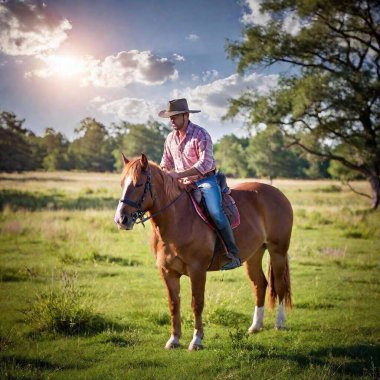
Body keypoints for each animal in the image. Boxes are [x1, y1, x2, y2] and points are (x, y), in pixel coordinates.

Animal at [114, 154, 292, 350]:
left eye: (138, 184)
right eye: (122, 184)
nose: (121, 219)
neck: (176, 221)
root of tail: (278, 193)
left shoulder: (197, 270)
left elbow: (196, 304)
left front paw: (197, 340)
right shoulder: (167, 272)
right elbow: (174, 304)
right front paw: (174, 339)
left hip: (278, 251)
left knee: (280, 286)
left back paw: (279, 323)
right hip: (254, 256)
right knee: (260, 284)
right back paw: (255, 326)